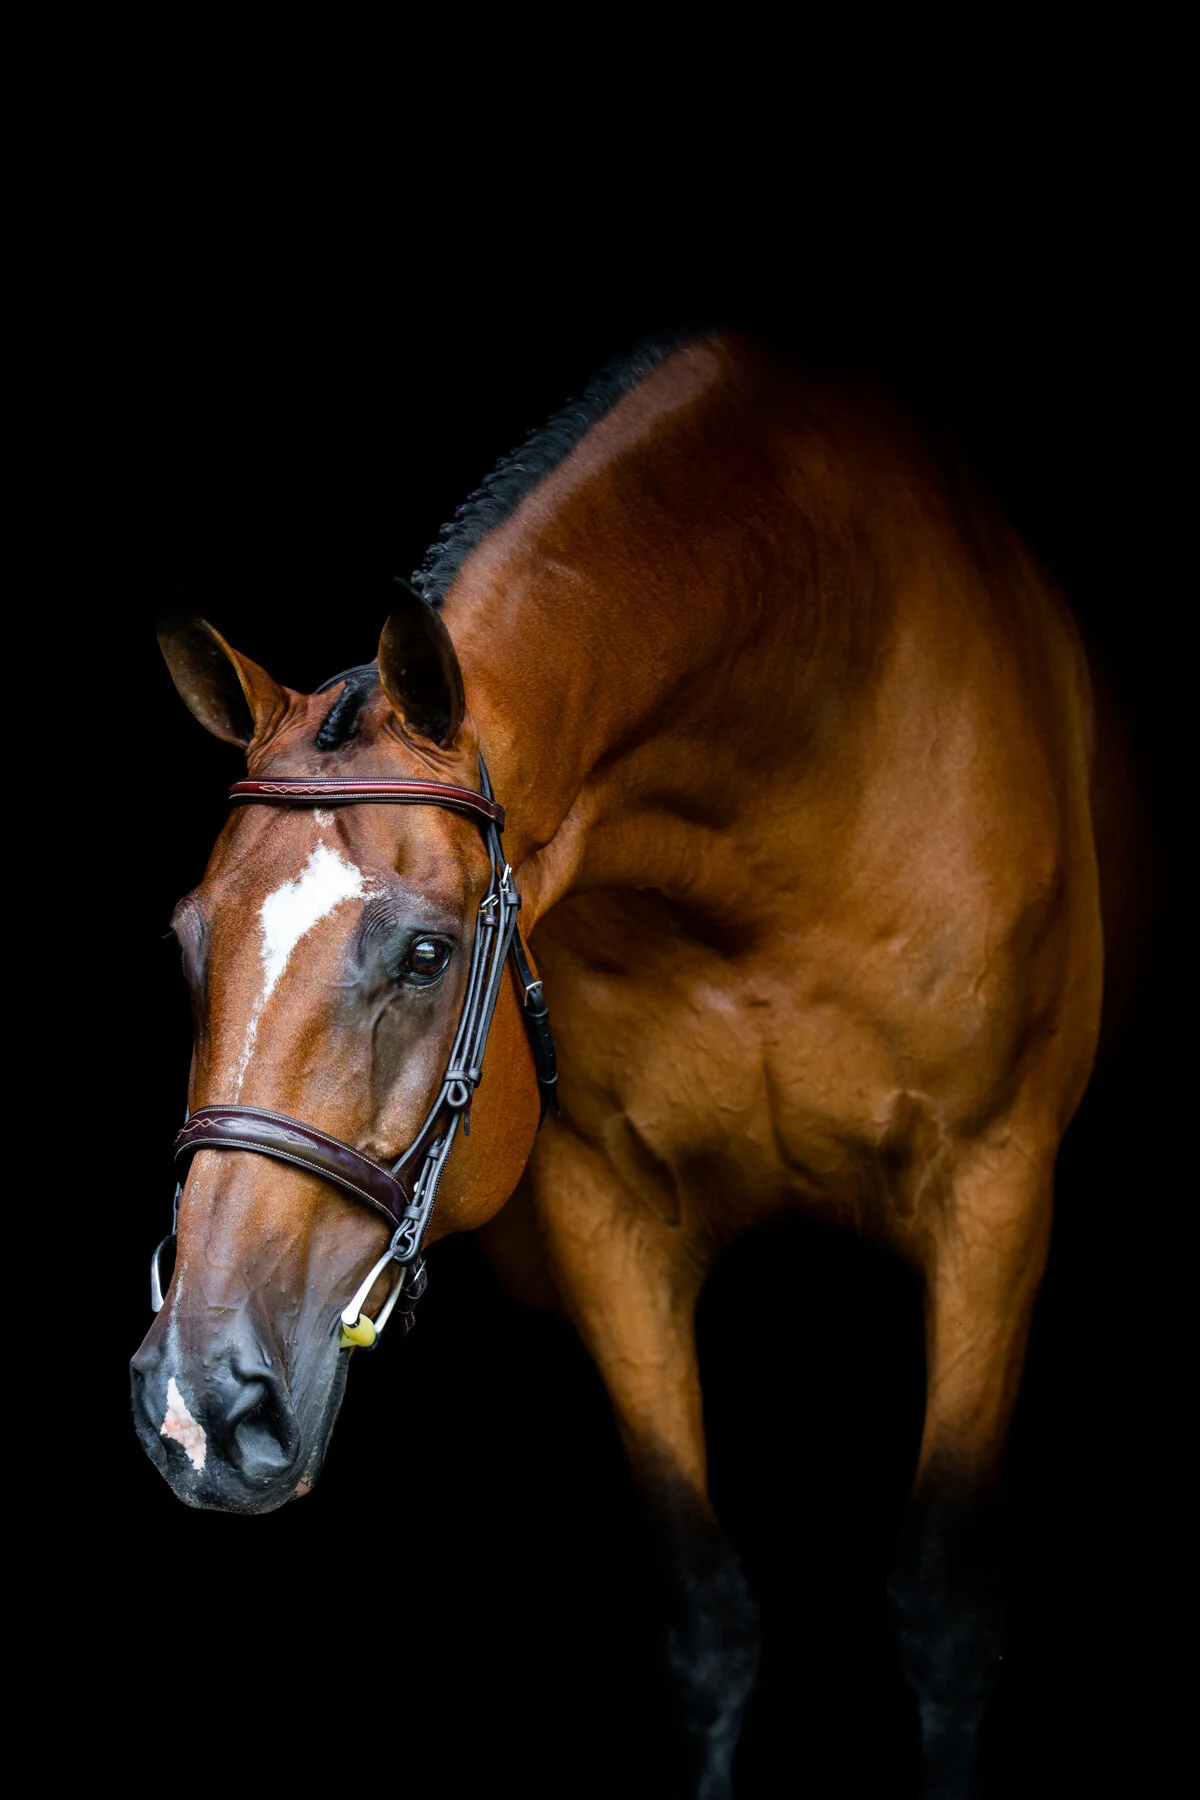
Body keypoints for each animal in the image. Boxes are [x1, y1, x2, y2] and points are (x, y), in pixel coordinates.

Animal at [131, 329, 1114, 1798]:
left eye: (426, 955)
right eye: (190, 941)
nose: (200, 1406)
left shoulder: (994, 1197)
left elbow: (946, 1608)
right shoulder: (608, 1214)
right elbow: (707, 1623)